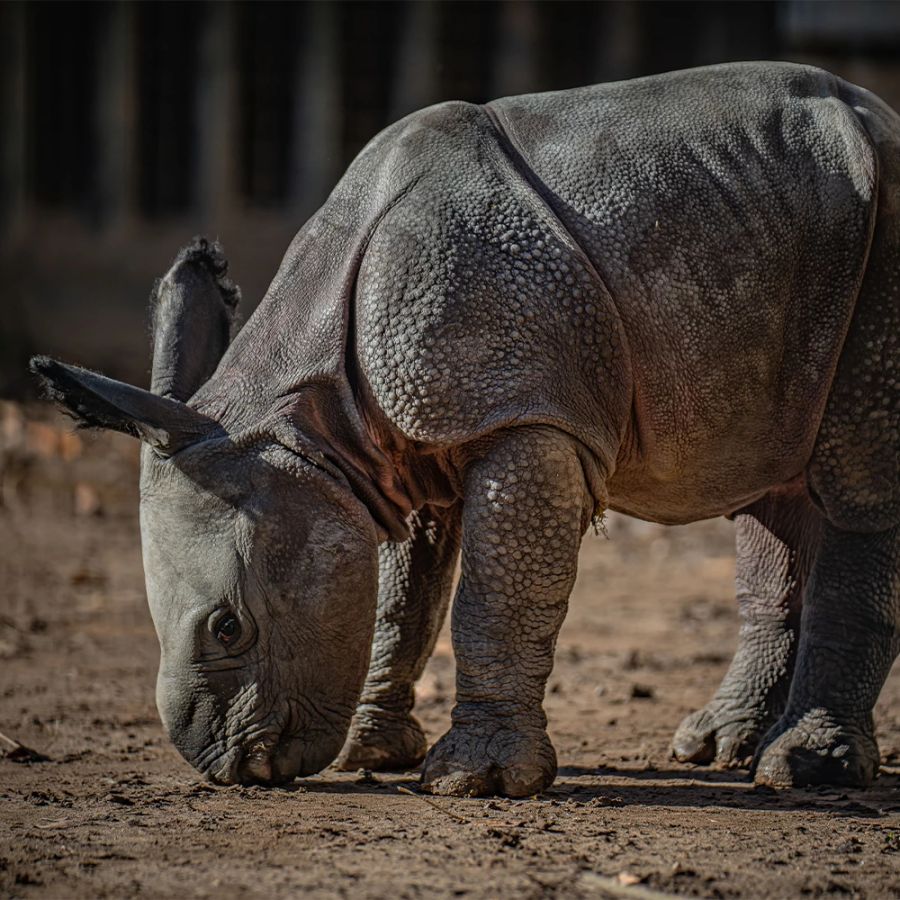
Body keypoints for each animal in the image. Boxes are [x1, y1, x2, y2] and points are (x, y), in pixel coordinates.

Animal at [31, 63, 896, 796]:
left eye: (228, 627)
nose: (224, 765)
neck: (296, 421)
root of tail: (878, 114)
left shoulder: (522, 416)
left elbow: (495, 596)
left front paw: (474, 782)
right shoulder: (390, 447)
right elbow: (398, 600)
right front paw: (369, 753)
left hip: (885, 229)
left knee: (857, 484)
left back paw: (802, 772)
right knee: (773, 483)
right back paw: (719, 750)